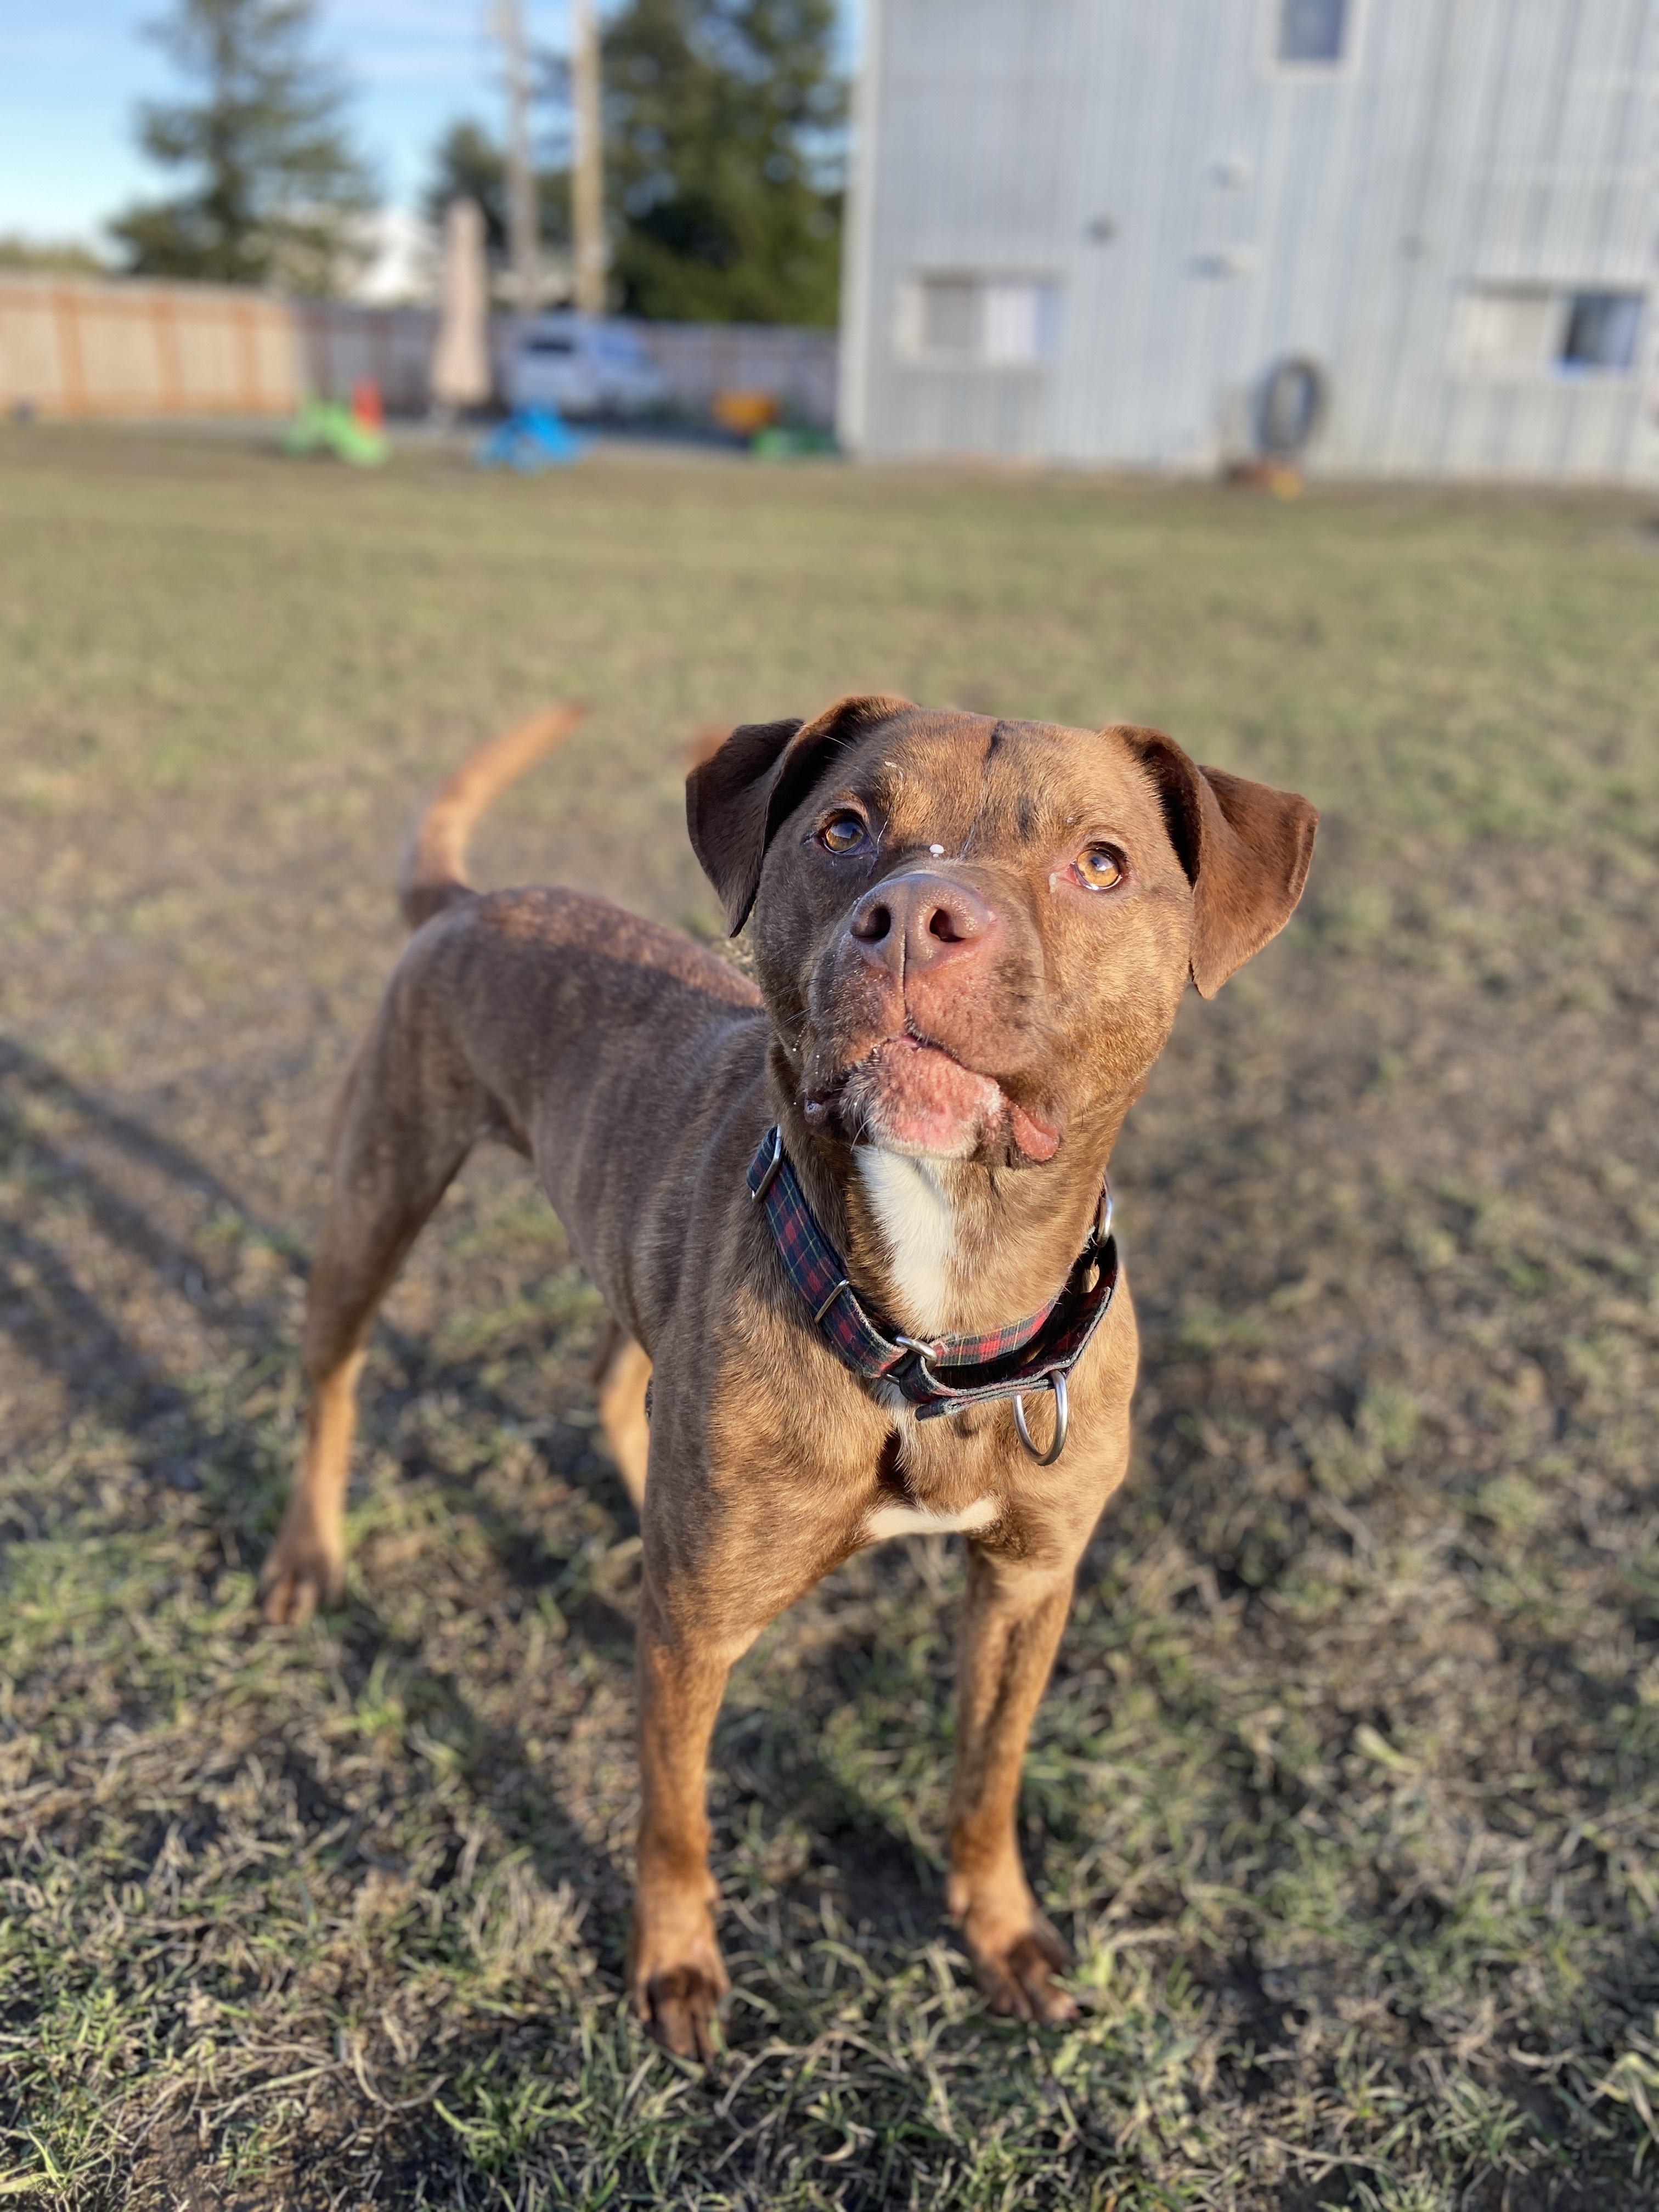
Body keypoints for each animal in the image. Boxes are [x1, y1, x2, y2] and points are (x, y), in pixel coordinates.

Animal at [259, 690, 1318, 2052]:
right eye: (844, 828)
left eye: (1101, 863)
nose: (918, 918)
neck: (935, 1319)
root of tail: (471, 899)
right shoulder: (694, 1639)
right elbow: (673, 1811)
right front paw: (675, 1962)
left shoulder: (1028, 1584)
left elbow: (987, 1779)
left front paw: (998, 1931)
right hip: (380, 1190)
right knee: (332, 1378)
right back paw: (308, 1554)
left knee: (614, 1370)